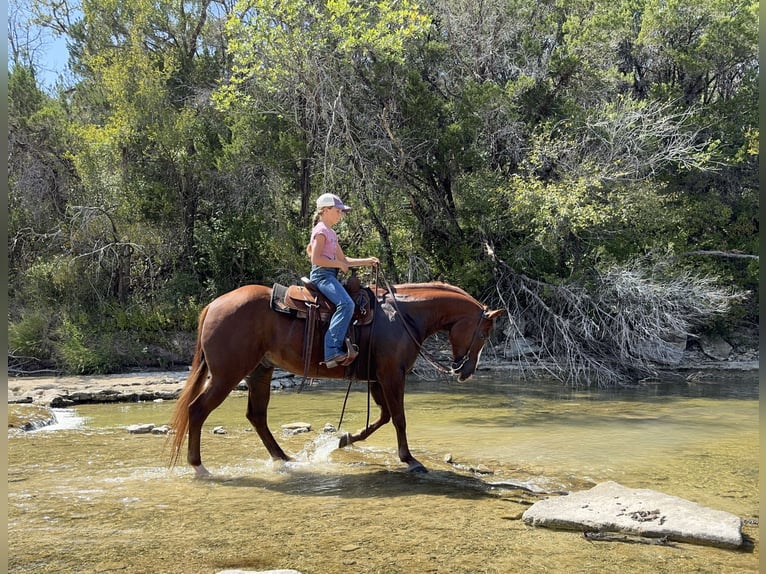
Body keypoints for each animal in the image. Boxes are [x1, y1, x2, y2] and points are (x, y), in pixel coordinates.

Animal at [168, 281, 504, 476]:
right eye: (483, 333)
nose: (465, 372)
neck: (403, 316)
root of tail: (213, 305)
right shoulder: (391, 375)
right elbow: (398, 417)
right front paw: (410, 459)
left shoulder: (377, 378)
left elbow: (383, 417)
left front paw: (343, 439)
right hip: (227, 374)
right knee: (198, 410)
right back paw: (198, 466)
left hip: (260, 371)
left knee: (256, 416)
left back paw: (284, 458)